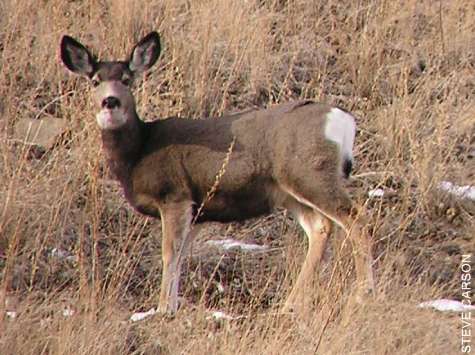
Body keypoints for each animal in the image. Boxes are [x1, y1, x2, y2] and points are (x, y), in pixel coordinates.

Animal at [59, 32, 374, 316]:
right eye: (95, 81)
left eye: (127, 79)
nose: (110, 101)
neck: (139, 152)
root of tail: (342, 119)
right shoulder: (197, 211)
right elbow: (181, 256)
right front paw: (171, 306)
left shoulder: (174, 194)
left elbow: (169, 253)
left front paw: (162, 309)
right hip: (290, 192)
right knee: (321, 228)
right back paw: (290, 304)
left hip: (310, 174)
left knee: (357, 218)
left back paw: (362, 294)